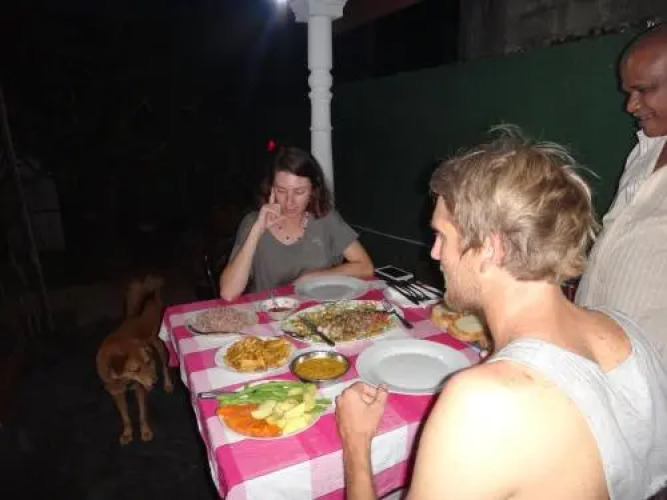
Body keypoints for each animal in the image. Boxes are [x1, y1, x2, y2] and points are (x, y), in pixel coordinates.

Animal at [96, 275, 173, 444]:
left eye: (146, 362)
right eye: (136, 369)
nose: (155, 381)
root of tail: (150, 299)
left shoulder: (140, 389)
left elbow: (142, 414)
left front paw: (145, 431)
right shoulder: (116, 392)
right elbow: (125, 417)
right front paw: (127, 433)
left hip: (159, 344)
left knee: (164, 366)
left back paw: (167, 384)